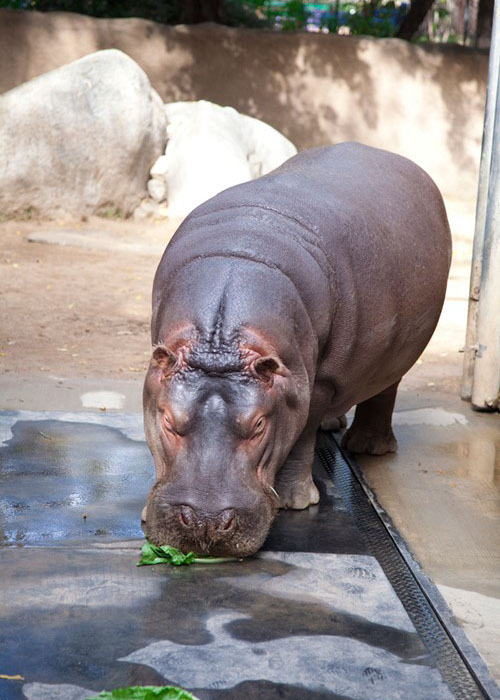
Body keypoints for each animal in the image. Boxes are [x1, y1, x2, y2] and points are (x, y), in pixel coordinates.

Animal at [142, 142, 451, 557]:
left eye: (259, 424)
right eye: (167, 420)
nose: (206, 521)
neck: (220, 344)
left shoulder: (316, 383)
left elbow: (301, 437)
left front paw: (296, 502)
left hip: (394, 356)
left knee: (383, 391)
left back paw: (368, 447)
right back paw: (334, 426)